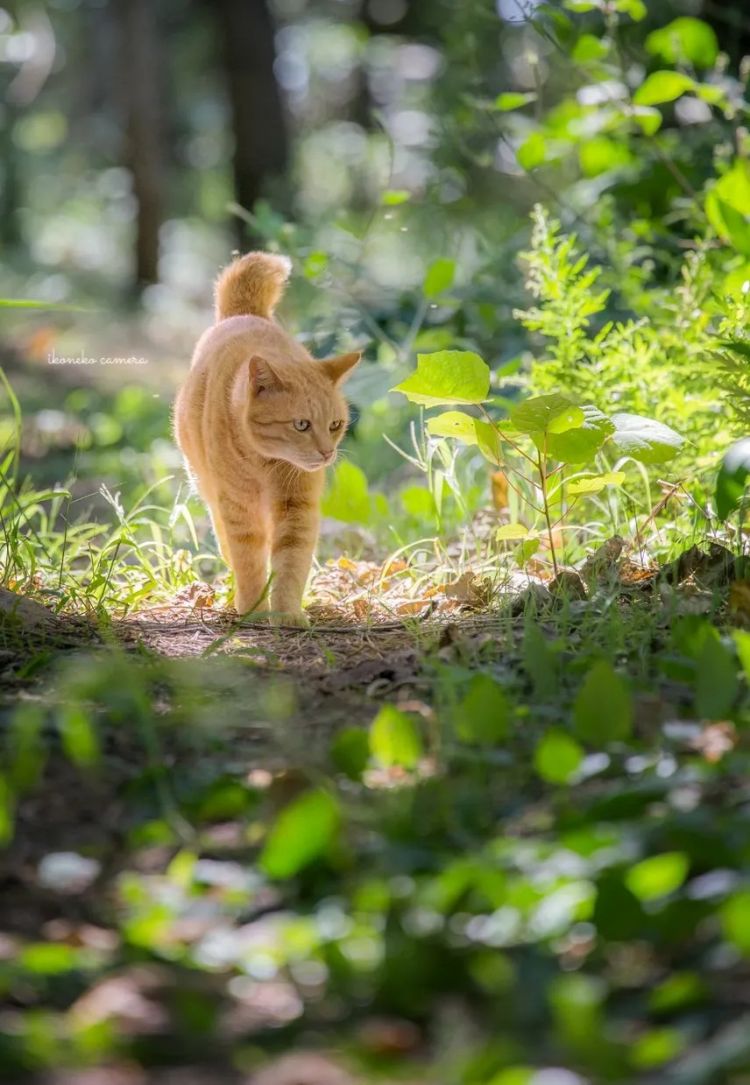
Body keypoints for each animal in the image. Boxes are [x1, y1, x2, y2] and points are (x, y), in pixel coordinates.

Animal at [176, 253, 364, 624]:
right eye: (302, 425)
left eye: (335, 424)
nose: (326, 453)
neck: (266, 463)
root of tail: (243, 314)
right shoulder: (238, 509)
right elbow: (248, 561)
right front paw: (253, 610)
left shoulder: (297, 508)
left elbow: (291, 562)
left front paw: (287, 612)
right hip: (211, 494)